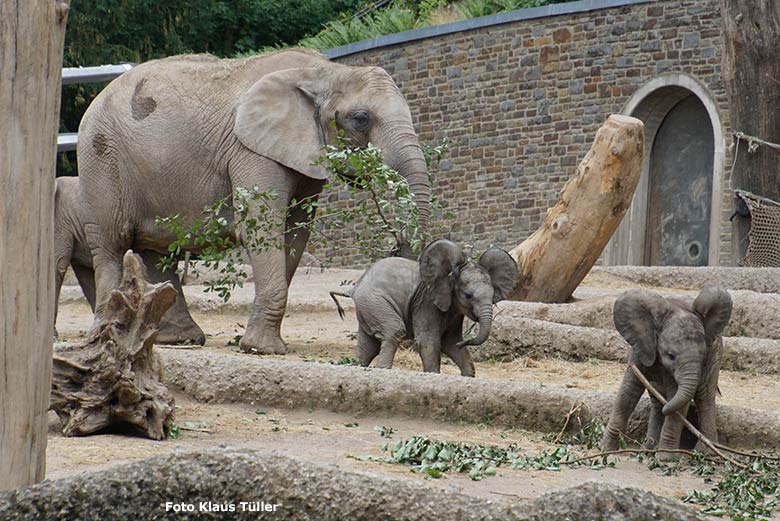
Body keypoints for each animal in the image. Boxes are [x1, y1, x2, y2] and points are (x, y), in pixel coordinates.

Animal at [77, 49, 432, 354]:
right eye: (361, 119)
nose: (395, 244)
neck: (325, 72)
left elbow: (295, 234)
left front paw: (261, 345)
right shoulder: (250, 150)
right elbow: (261, 227)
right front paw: (262, 350)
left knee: (157, 252)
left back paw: (178, 339)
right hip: (101, 159)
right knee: (111, 246)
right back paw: (105, 335)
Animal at [330, 238, 516, 376]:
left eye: (492, 295)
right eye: (468, 295)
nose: (464, 342)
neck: (449, 274)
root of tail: (355, 288)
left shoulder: (454, 311)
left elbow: (450, 342)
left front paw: (465, 371)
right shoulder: (425, 302)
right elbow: (429, 341)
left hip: (368, 307)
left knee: (367, 347)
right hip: (375, 302)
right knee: (394, 331)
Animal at [600, 284, 736, 460]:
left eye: (703, 355)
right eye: (670, 356)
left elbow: (676, 398)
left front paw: (665, 459)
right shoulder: (641, 348)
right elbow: (628, 392)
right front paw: (605, 450)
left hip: (716, 356)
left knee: (704, 396)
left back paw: (704, 452)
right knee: (657, 400)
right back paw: (648, 449)